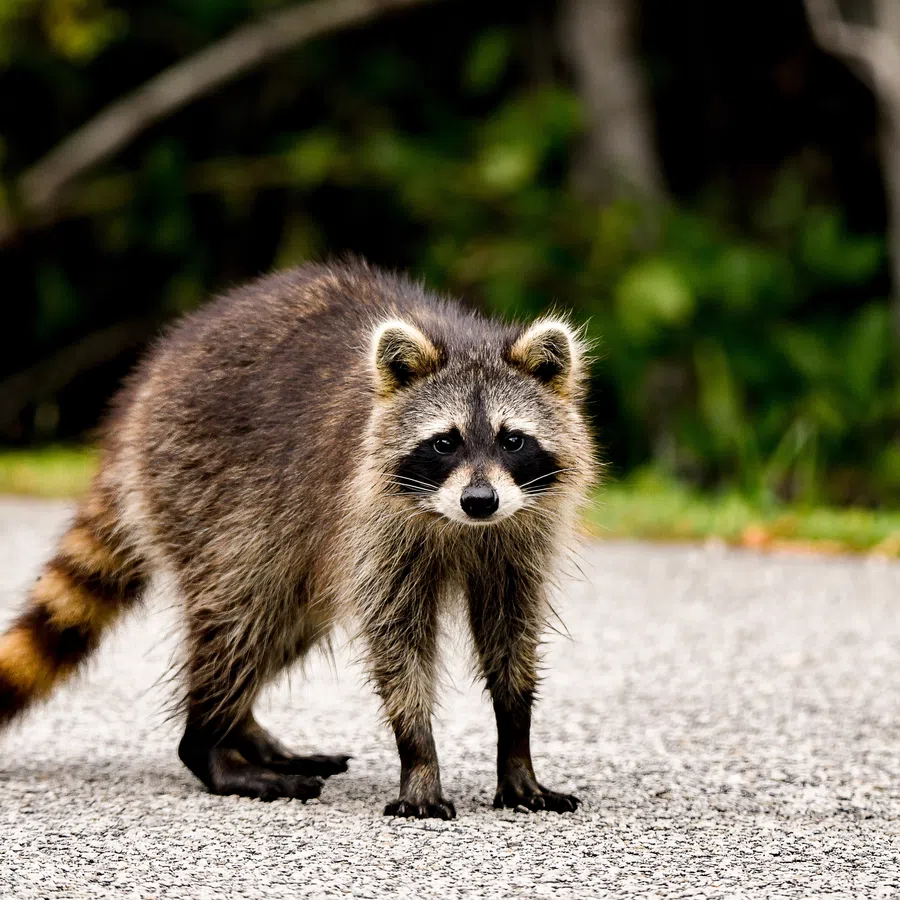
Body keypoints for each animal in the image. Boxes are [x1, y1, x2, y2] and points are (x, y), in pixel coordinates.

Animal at [0, 260, 595, 819]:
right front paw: (418, 755)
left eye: (512, 440)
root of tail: (143, 395)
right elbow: (396, 643)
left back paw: (241, 729)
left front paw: (516, 747)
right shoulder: (372, 521)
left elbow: (511, 634)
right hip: (207, 491)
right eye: (444, 443)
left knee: (286, 622)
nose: (480, 501)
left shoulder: (520, 535)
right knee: (239, 614)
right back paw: (209, 745)